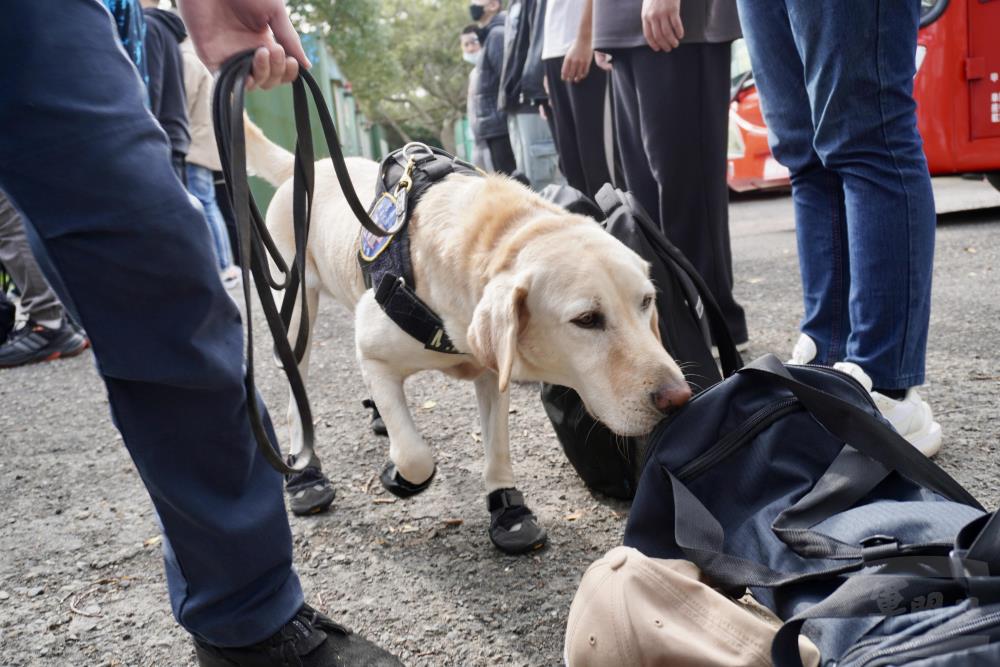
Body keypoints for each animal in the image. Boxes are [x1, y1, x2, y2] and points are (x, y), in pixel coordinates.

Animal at [246, 122, 692, 556]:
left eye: (646, 301)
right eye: (586, 319)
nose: (678, 399)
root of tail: (306, 167)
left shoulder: (492, 369)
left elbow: (497, 447)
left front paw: (508, 510)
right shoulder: (373, 350)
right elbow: (414, 456)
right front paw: (398, 477)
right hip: (294, 315)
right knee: (296, 399)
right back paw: (305, 473)